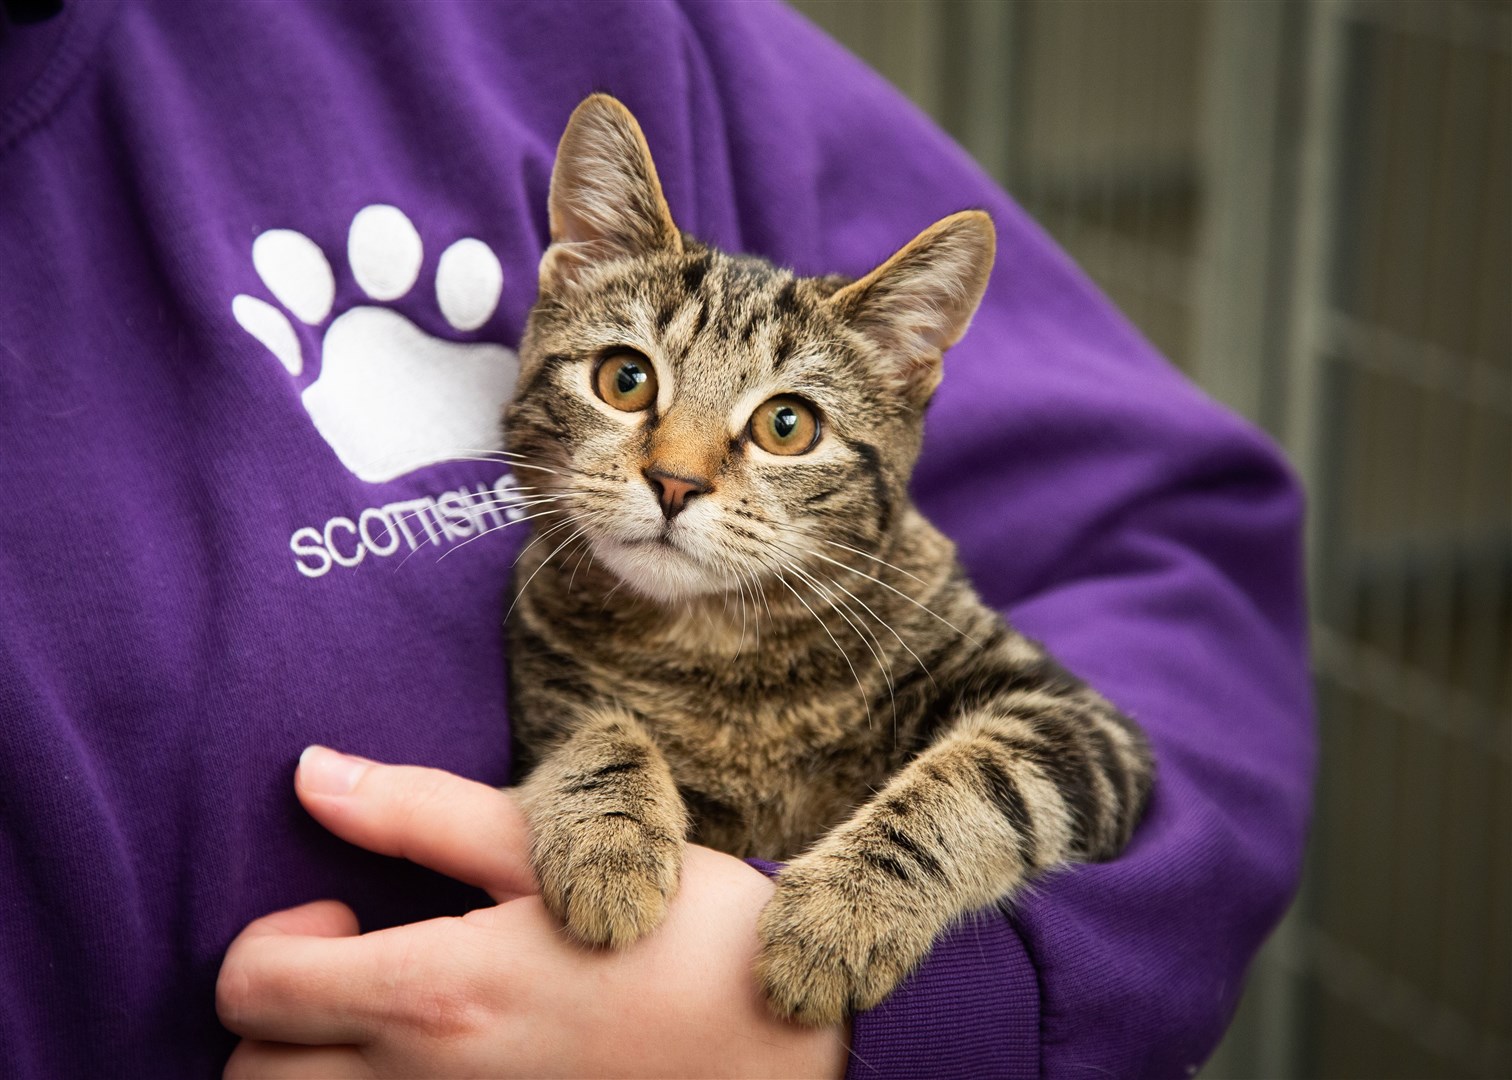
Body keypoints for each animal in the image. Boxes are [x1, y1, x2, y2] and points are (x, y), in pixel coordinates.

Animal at [501, 94, 1149, 1028]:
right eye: (625, 378)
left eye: (787, 425)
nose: (674, 480)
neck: (725, 650)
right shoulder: (544, 666)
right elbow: (595, 728)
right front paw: (609, 840)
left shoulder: (1079, 725)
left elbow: (980, 777)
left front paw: (844, 911)